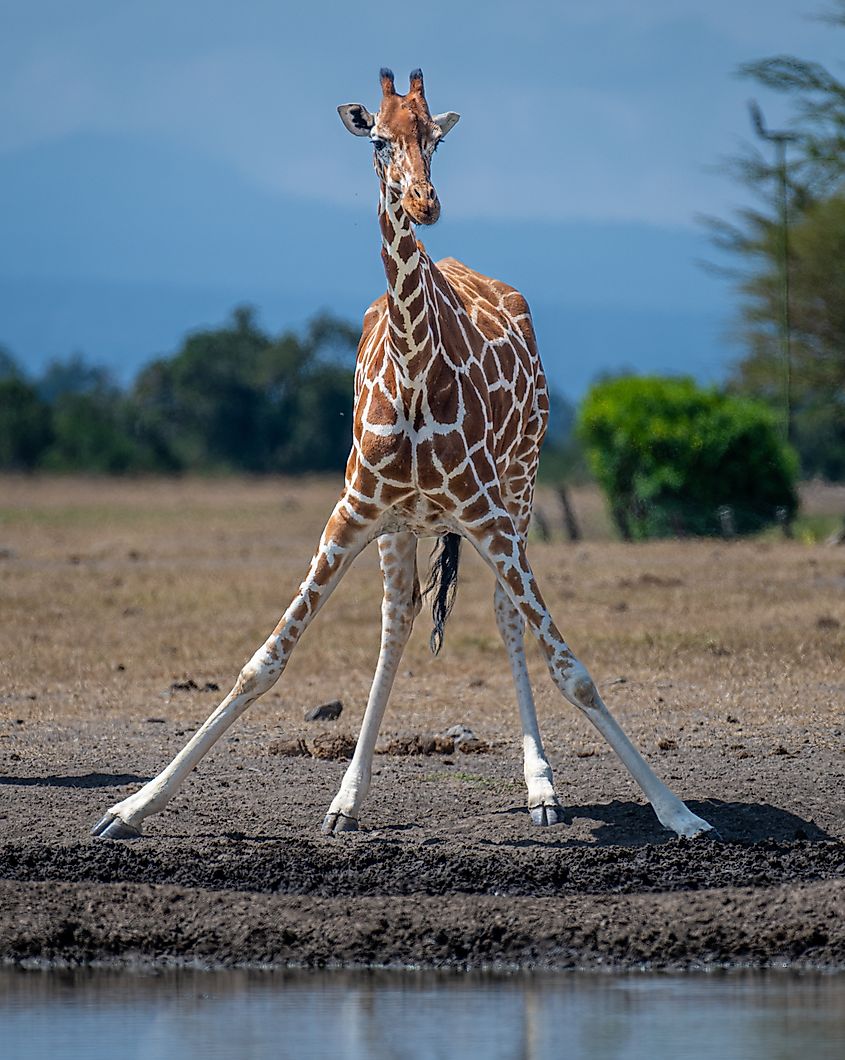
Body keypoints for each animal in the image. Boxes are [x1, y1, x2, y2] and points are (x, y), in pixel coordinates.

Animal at [92, 68, 716, 842]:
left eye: (434, 138)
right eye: (379, 140)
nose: (425, 201)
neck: (416, 371)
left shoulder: (486, 513)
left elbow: (572, 668)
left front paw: (678, 811)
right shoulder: (351, 512)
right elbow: (263, 662)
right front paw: (131, 807)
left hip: (521, 487)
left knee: (504, 616)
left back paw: (540, 789)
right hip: (402, 527)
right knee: (398, 619)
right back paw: (346, 799)